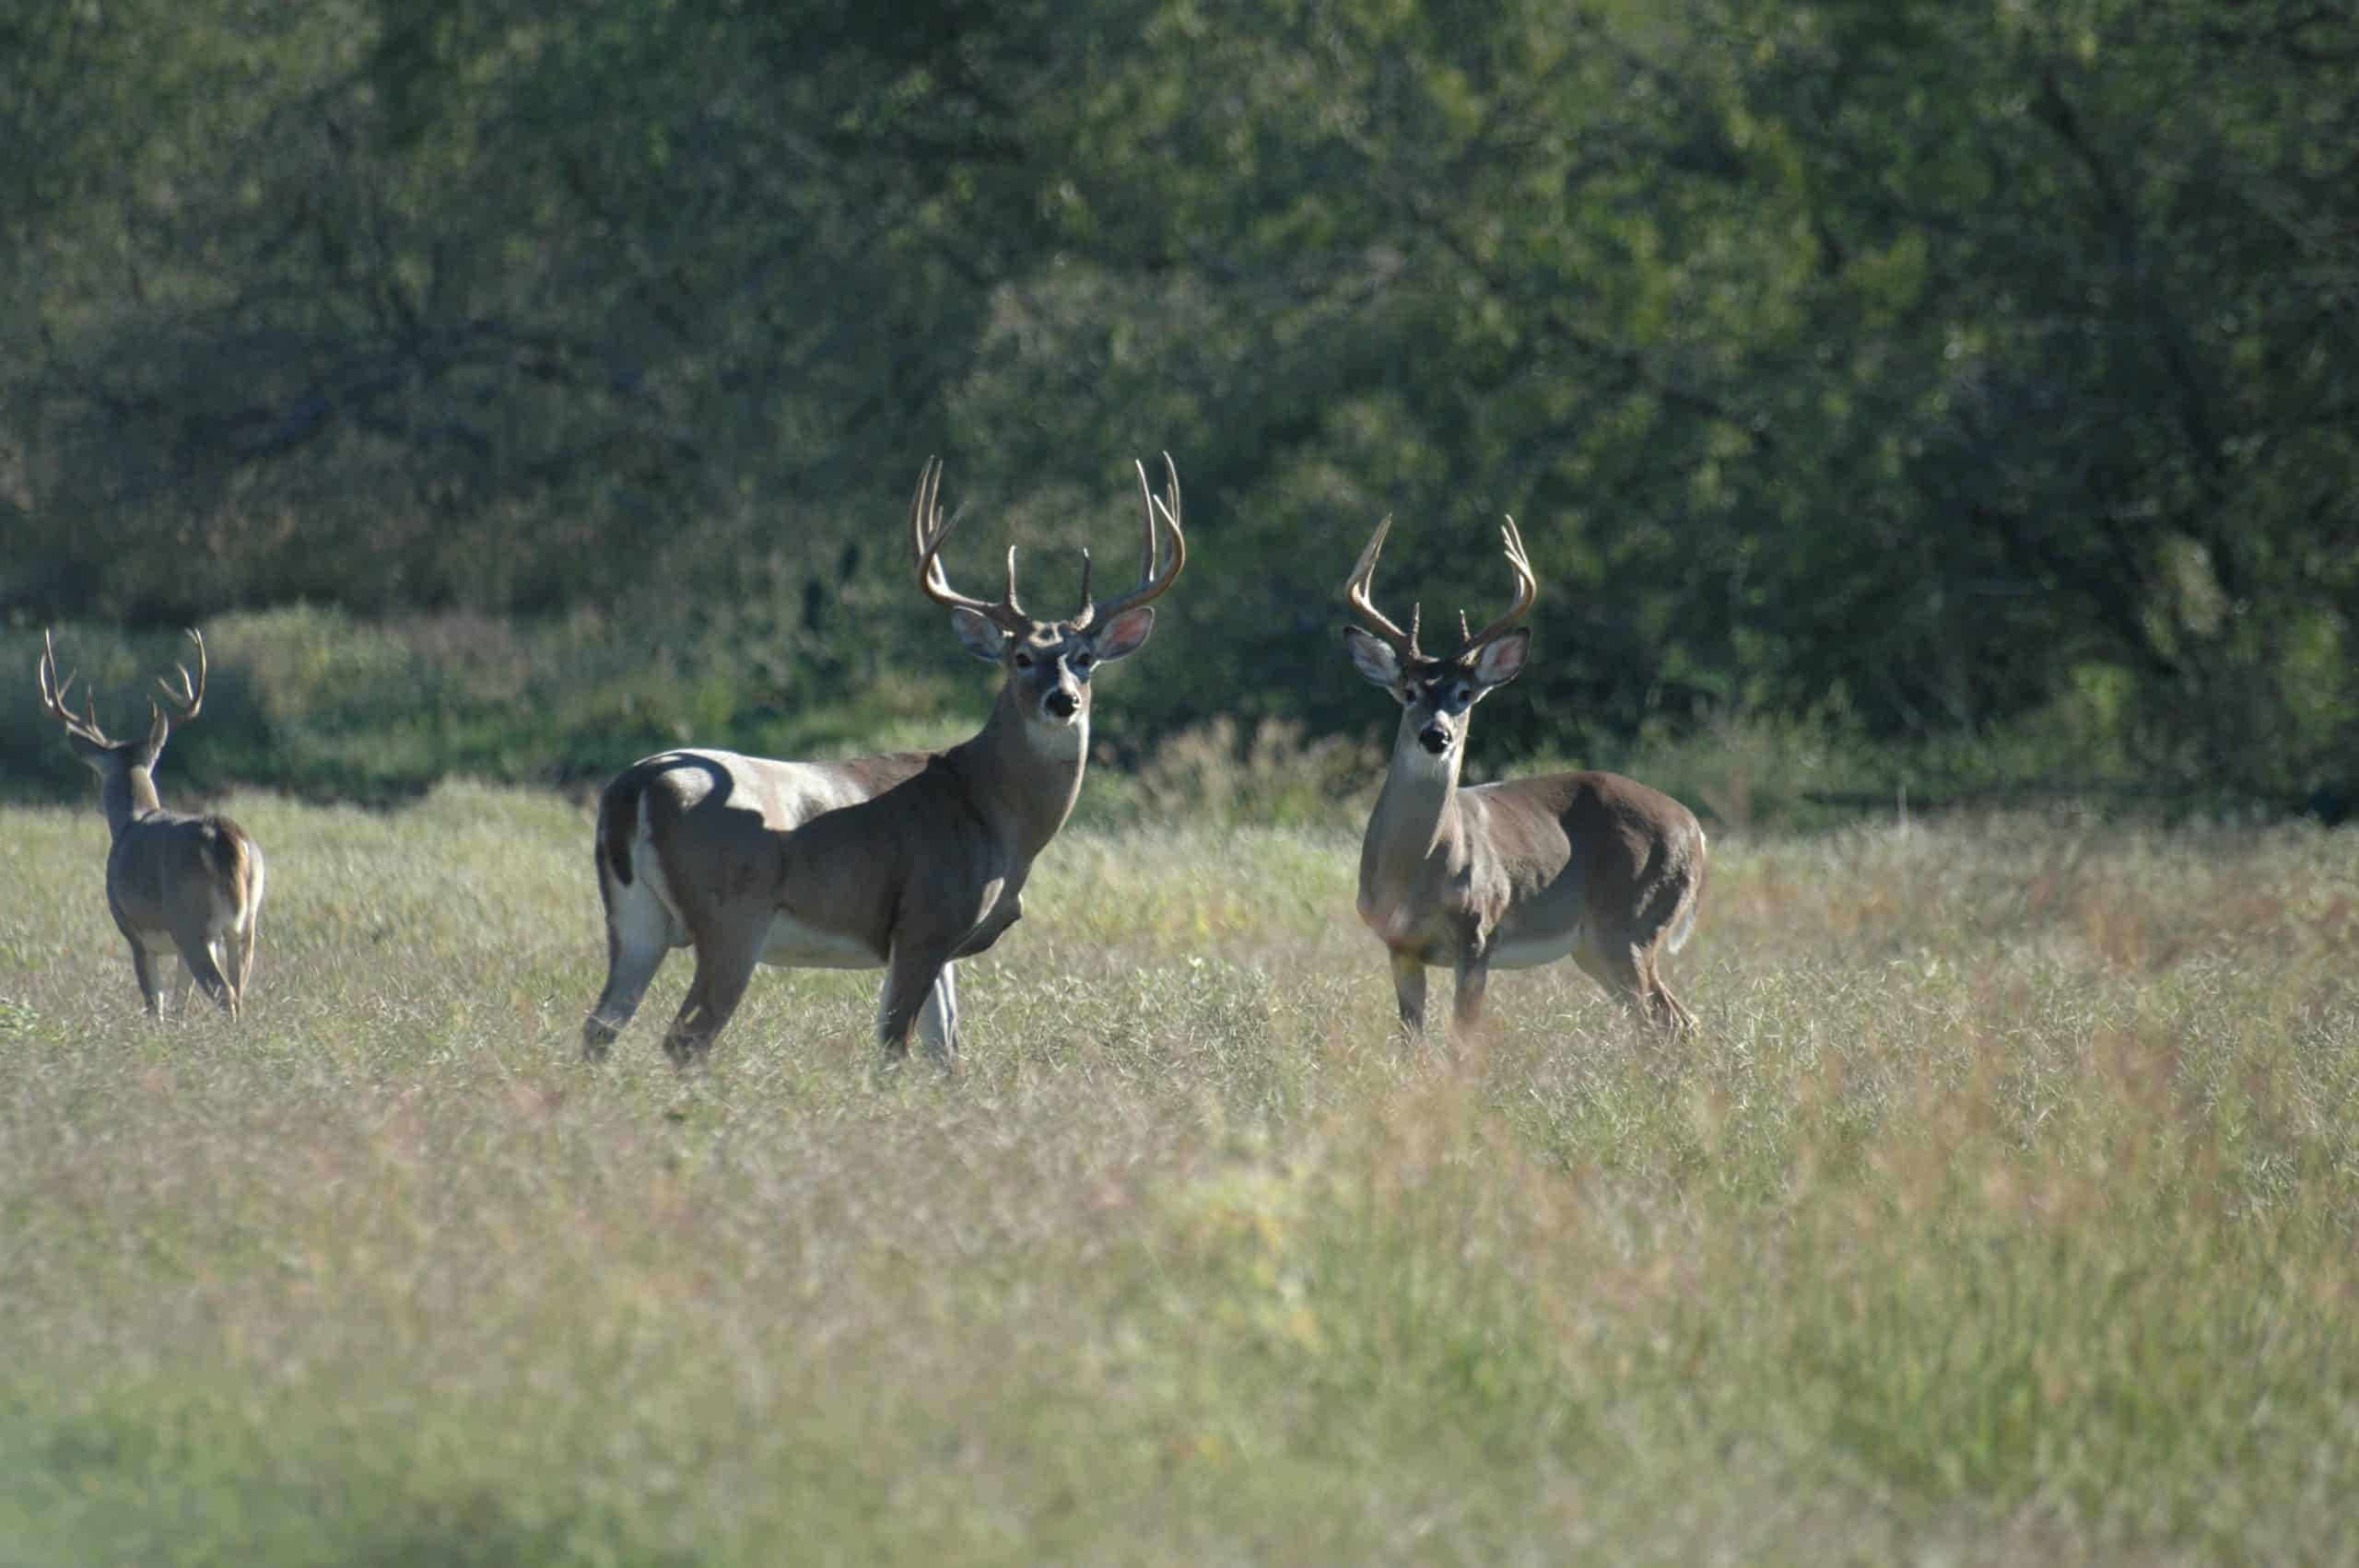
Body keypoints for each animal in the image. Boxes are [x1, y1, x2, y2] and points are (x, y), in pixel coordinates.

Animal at [38, 631, 266, 1023]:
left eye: (97, 775)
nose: (95, 803)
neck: (131, 820)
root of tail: (225, 839)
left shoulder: (134, 932)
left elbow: (154, 1006)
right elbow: (178, 1007)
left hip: (190, 922)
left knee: (226, 993)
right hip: (244, 923)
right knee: (240, 989)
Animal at [582, 452, 1189, 1065]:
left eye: (1084, 658)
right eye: (1020, 657)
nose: (1062, 700)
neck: (991, 808)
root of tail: (635, 789)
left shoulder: (942, 942)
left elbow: (947, 1051)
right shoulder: (926, 916)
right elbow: (894, 1047)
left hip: (634, 918)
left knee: (600, 1027)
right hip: (731, 916)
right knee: (685, 1037)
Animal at [1340, 513, 1708, 1037]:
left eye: (1465, 694)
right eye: (1408, 692)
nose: (1436, 736)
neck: (1416, 871)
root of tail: (1696, 830)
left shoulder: (1479, 933)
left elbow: (1462, 1040)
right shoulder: (1400, 946)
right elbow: (1412, 1038)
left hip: (1632, 924)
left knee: (1668, 1022)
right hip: (1595, 947)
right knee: (1674, 1021)